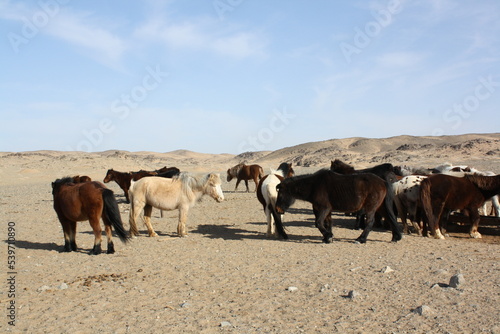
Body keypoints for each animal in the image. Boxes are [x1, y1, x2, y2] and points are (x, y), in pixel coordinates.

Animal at [274, 170, 402, 243]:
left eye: (280, 193)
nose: (277, 209)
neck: (314, 185)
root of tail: (383, 181)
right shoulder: (326, 210)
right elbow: (328, 223)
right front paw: (328, 237)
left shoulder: (324, 208)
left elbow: (318, 223)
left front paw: (328, 236)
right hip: (381, 207)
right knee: (390, 219)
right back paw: (396, 237)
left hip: (371, 207)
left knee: (370, 222)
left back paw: (361, 239)